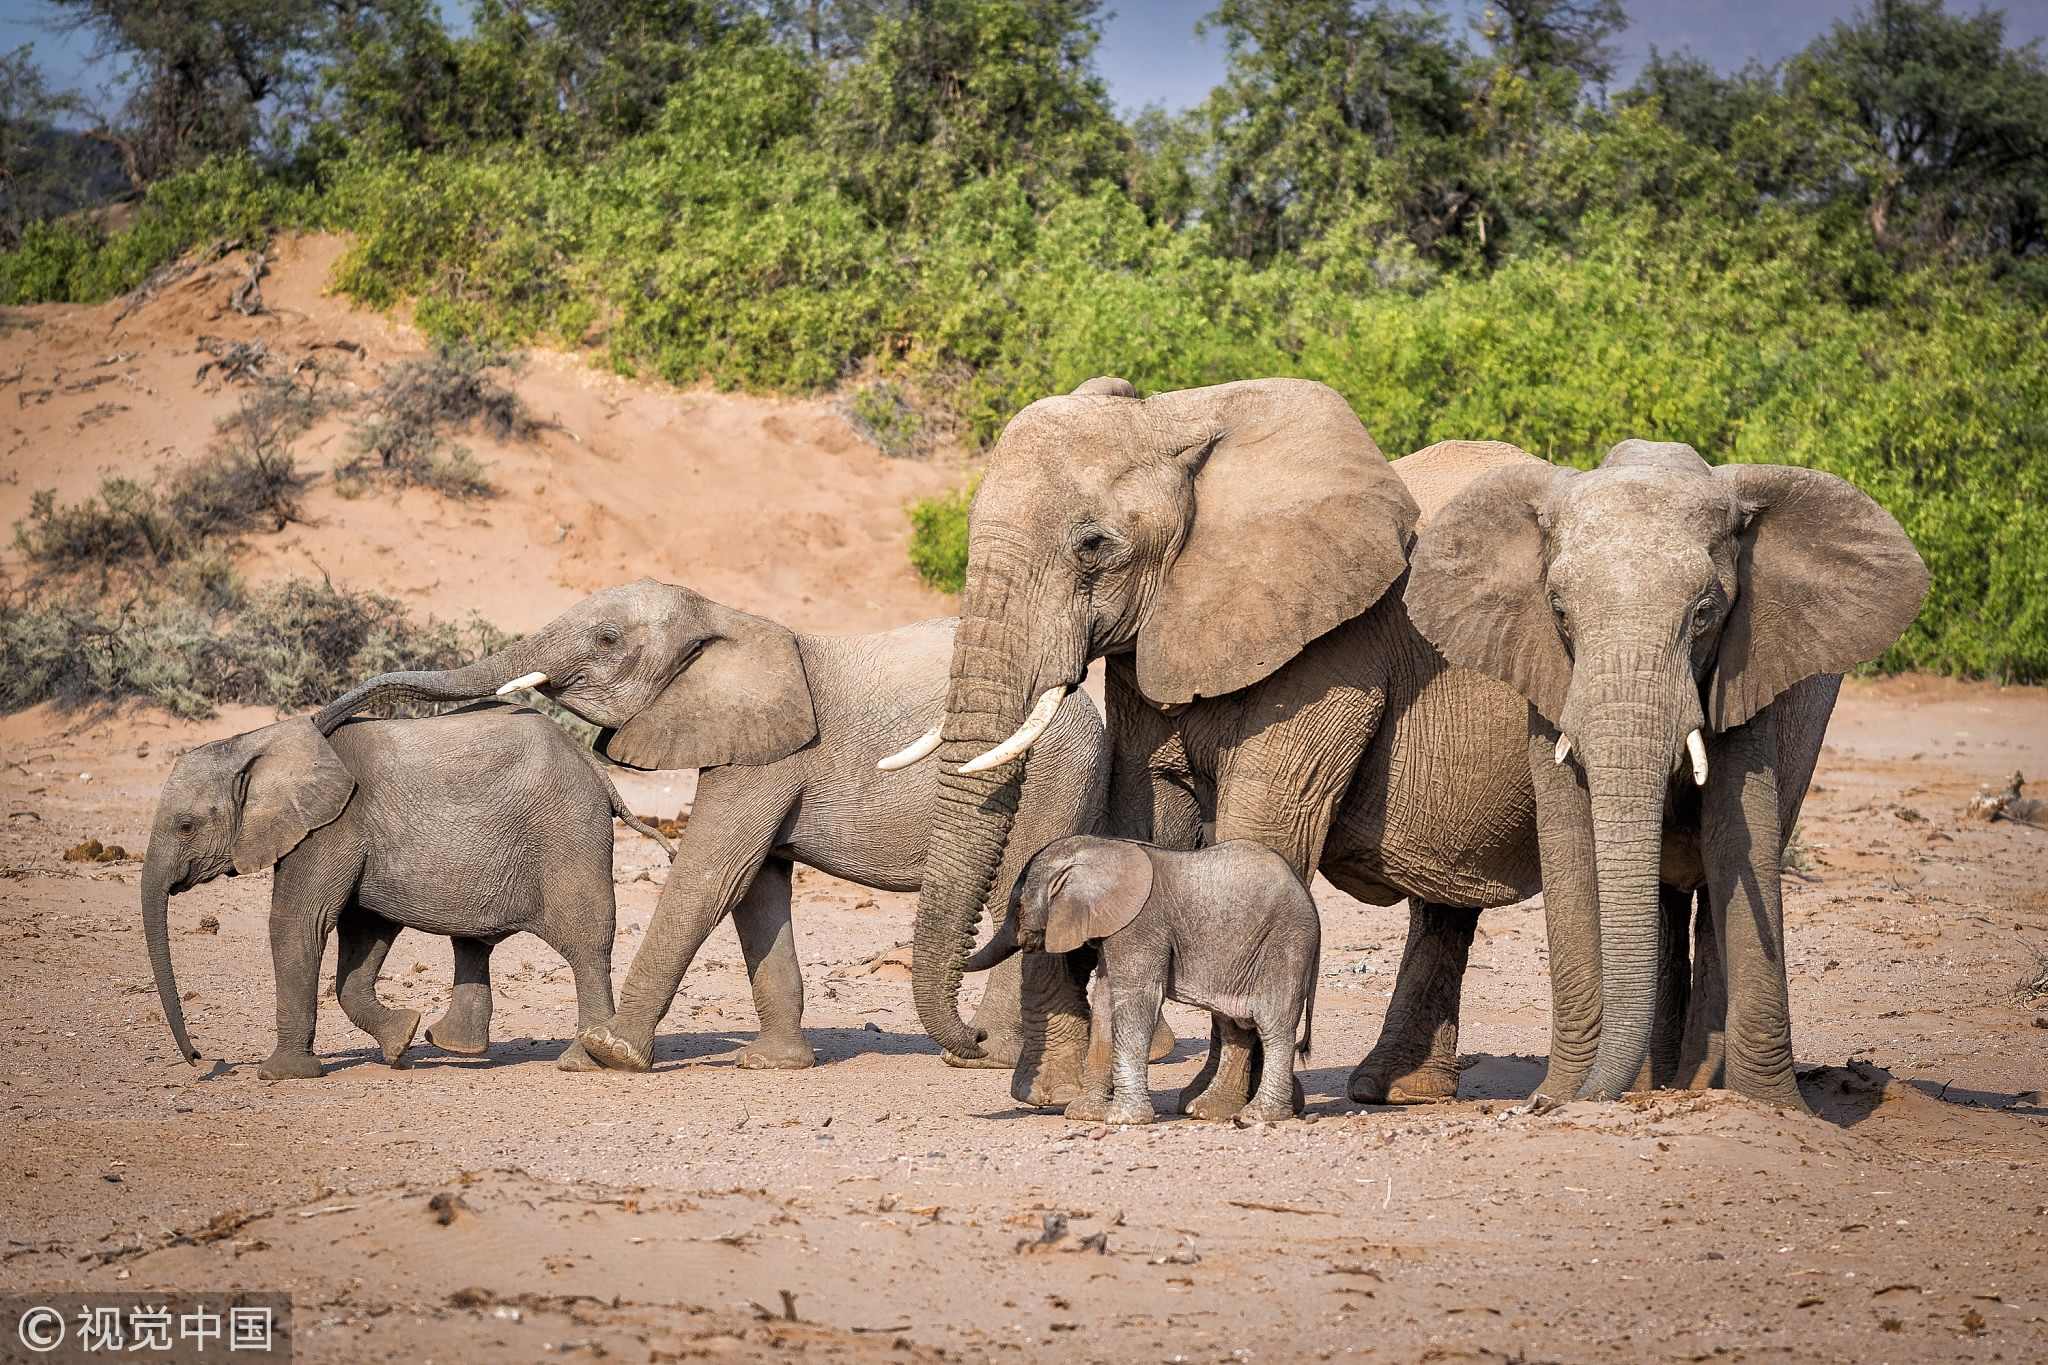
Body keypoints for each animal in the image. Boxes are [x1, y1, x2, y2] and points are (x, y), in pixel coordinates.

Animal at [144, 703, 671, 1080]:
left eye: (186, 825)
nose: (198, 1058)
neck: (256, 742)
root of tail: (595, 768)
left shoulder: (331, 827)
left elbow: (300, 923)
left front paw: (280, 1075)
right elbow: (363, 934)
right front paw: (400, 1042)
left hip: (569, 836)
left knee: (586, 945)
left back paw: (581, 1062)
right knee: (473, 944)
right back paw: (451, 1045)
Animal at [315, 581, 1122, 1072]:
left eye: (607, 639)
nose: (328, 721)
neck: (722, 616)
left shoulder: (770, 754)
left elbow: (711, 875)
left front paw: (610, 1054)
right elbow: (755, 889)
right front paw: (773, 1064)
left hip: (1054, 768)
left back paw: (990, 1053)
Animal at [966, 839, 1318, 1129]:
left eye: (1018, 907)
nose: (979, 1035)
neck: (1101, 848)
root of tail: (1308, 897)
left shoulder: (1140, 926)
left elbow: (1136, 1000)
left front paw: (1124, 1119)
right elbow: (1105, 1003)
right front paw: (1085, 1114)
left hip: (1285, 943)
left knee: (1272, 1024)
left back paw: (1260, 1115)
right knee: (1234, 1025)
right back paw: (1206, 1111)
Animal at [1400, 439, 1925, 1113]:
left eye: (1704, 614)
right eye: (1559, 612)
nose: (1544, 1106)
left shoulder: (1747, 669)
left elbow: (1739, 839)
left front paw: (1775, 1109)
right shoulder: (1544, 672)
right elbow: (1572, 846)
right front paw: (1566, 1092)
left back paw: (1696, 1088)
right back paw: (1658, 1083)